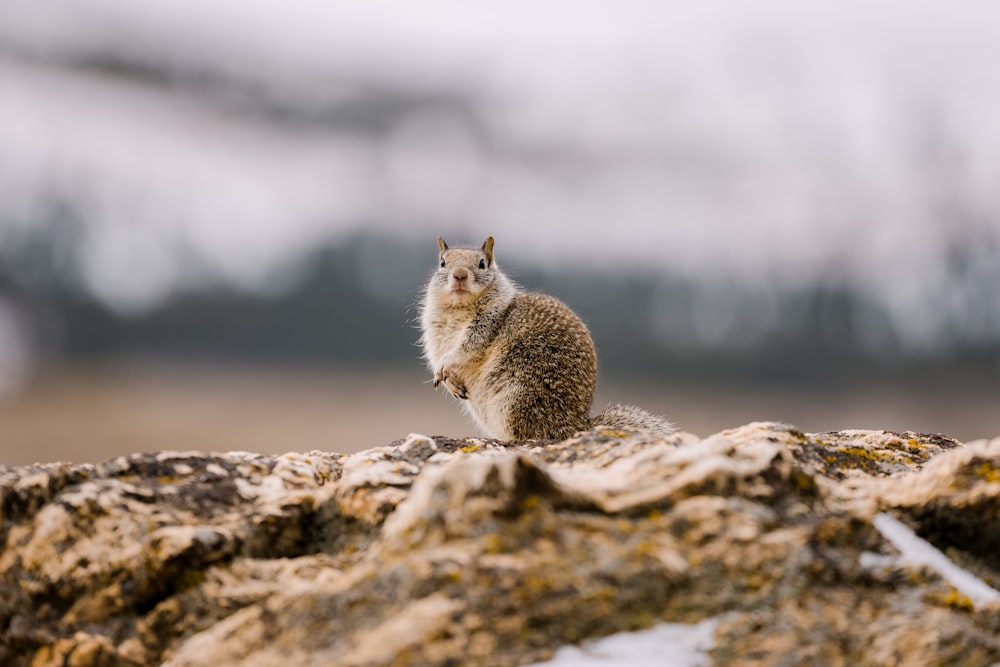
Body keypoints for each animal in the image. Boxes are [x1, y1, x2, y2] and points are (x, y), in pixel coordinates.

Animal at [418, 237, 676, 440]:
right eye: (442, 263)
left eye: (482, 264)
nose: (459, 275)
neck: (459, 309)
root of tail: (575, 426)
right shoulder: (434, 336)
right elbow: (438, 357)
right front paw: (447, 379)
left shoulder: (486, 325)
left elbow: (466, 348)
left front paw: (446, 367)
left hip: (516, 396)